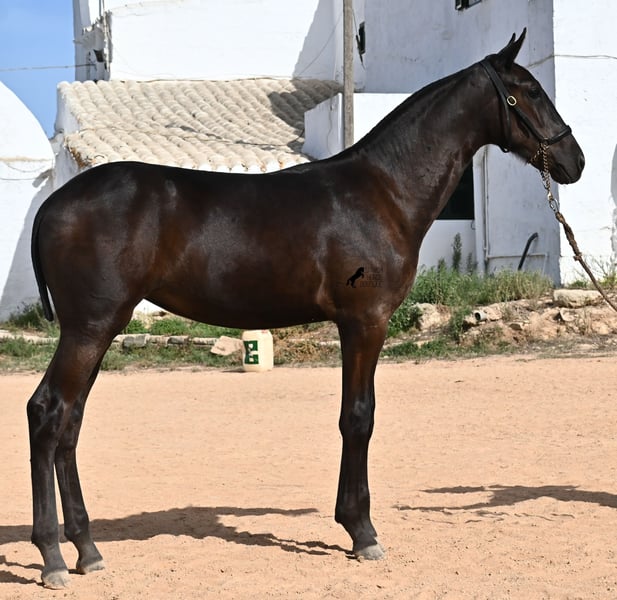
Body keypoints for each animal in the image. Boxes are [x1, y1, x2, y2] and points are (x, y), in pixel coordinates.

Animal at [27, 30, 584, 588]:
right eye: (529, 90)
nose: (575, 161)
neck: (383, 190)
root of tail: (52, 205)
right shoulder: (366, 321)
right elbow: (358, 417)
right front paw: (362, 532)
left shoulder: (355, 324)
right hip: (90, 328)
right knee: (47, 413)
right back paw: (52, 556)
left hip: (101, 329)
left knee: (70, 423)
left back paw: (87, 549)